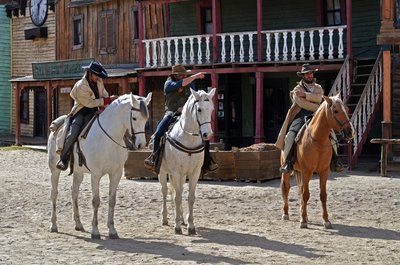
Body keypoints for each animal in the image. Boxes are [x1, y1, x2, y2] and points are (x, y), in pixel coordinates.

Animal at [47, 92, 153, 238]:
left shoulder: (116, 174)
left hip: (78, 172)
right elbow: (96, 201)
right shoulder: (96, 175)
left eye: (146, 119)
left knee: (74, 193)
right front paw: (95, 230)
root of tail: (56, 125)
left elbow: (112, 200)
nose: (141, 144)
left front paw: (112, 230)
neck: (108, 139)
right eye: (134, 118)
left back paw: (78, 224)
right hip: (54, 170)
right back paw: (53, 225)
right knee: (54, 193)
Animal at [159, 87, 216, 234]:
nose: (208, 134)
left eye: (212, 109)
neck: (188, 140)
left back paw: (180, 217)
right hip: (163, 171)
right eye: (199, 109)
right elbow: (177, 197)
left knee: (176, 191)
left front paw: (190, 225)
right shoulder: (176, 172)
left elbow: (190, 197)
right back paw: (165, 218)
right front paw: (177, 226)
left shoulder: (194, 173)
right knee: (165, 192)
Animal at [282, 94, 354, 228]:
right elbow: (305, 194)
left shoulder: (323, 171)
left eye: (346, 109)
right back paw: (285, 213)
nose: (351, 132)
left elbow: (323, 195)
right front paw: (303, 221)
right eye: (335, 111)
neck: (317, 140)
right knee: (286, 188)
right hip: (287, 172)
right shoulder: (306, 171)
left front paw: (326, 220)